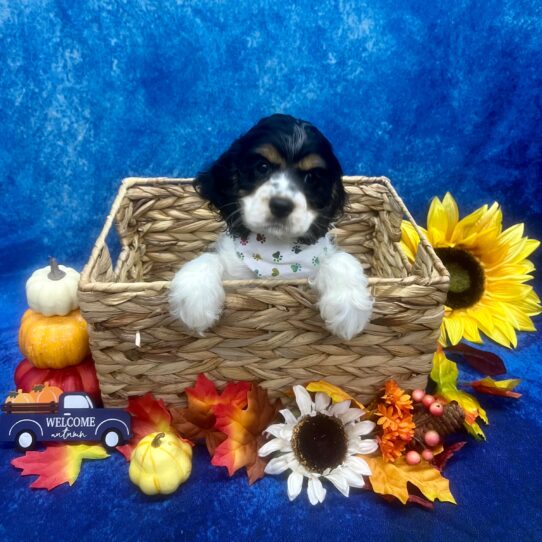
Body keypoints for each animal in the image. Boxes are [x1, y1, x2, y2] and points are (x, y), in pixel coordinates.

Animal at [170, 115, 374, 340]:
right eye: (262, 167)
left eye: (311, 178)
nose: (281, 205)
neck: (275, 251)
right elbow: (209, 258)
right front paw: (195, 300)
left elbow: (340, 259)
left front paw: (348, 308)